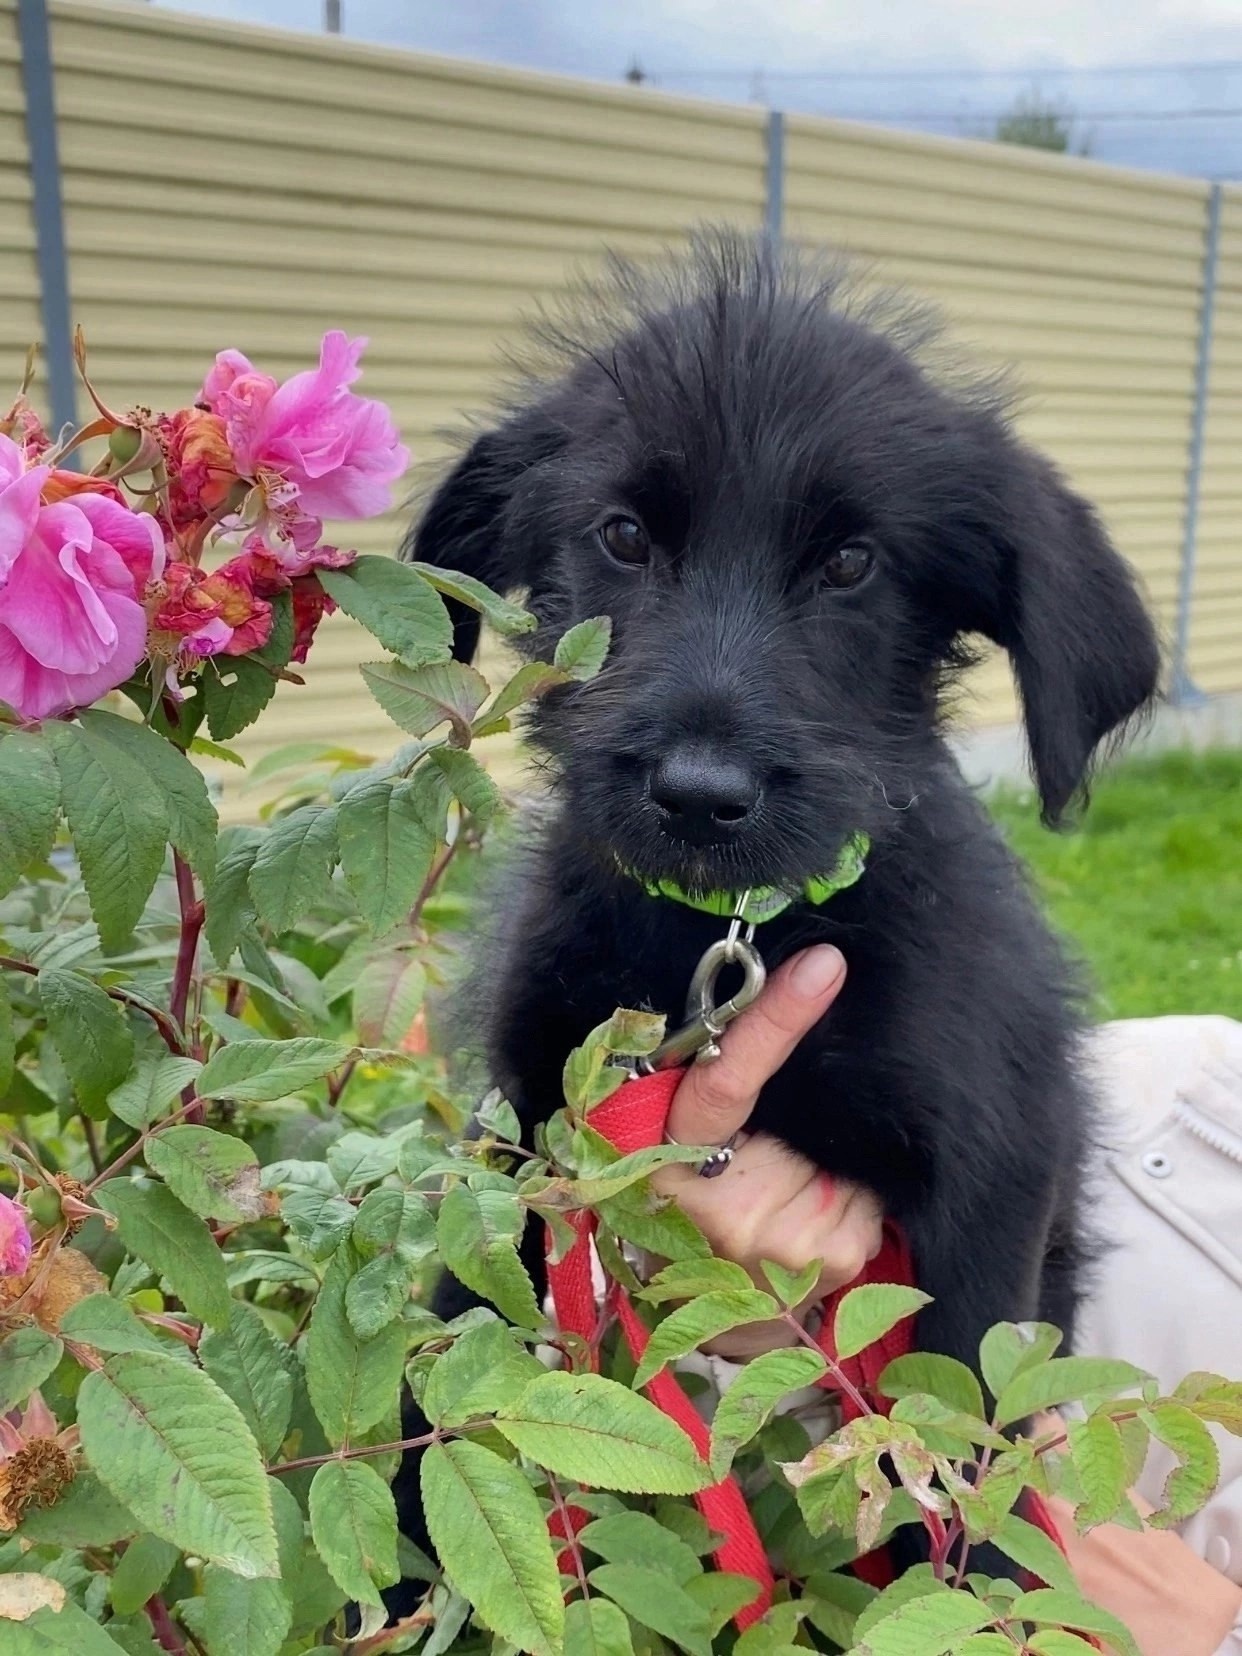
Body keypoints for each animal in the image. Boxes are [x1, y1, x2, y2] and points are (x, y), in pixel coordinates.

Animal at [390, 236, 1165, 1589]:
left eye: (852, 563)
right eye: (624, 535)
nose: (701, 795)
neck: (728, 930)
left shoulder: (997, 1182)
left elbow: (973, 1424)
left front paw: (983, 1590)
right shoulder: (533, 1129)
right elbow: (465, 1315)